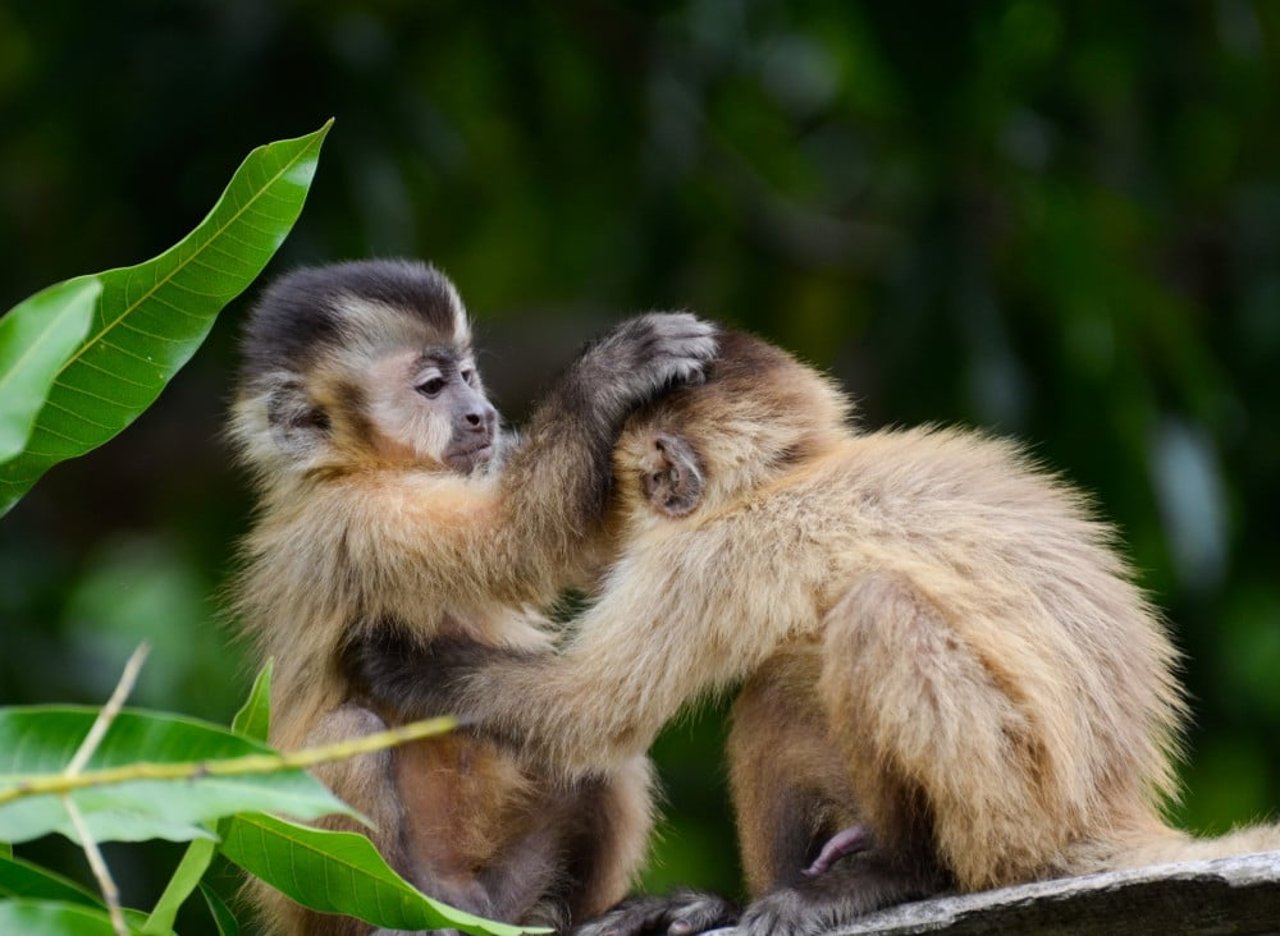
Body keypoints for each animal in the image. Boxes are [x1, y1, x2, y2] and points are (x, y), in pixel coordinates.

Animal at [224, 258, 716, 936]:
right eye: (432, 387)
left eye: (466, 376)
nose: (480, 412)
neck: (363, 467)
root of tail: (471, 904)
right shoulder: (356, 520)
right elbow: (517, 539)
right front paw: (609, 374)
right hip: (313, 880)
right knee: (348, 735)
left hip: (511, 882)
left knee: (592, 747)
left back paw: (608, 917)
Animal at [345, 327, 1280, 936]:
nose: (609, 524)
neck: (792, 475)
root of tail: (1112, 813)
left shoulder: (715, 551)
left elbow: (596, 714)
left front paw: (409, 668)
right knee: (783, 685)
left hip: (1022, 818)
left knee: (874, 614)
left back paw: (904, 874)